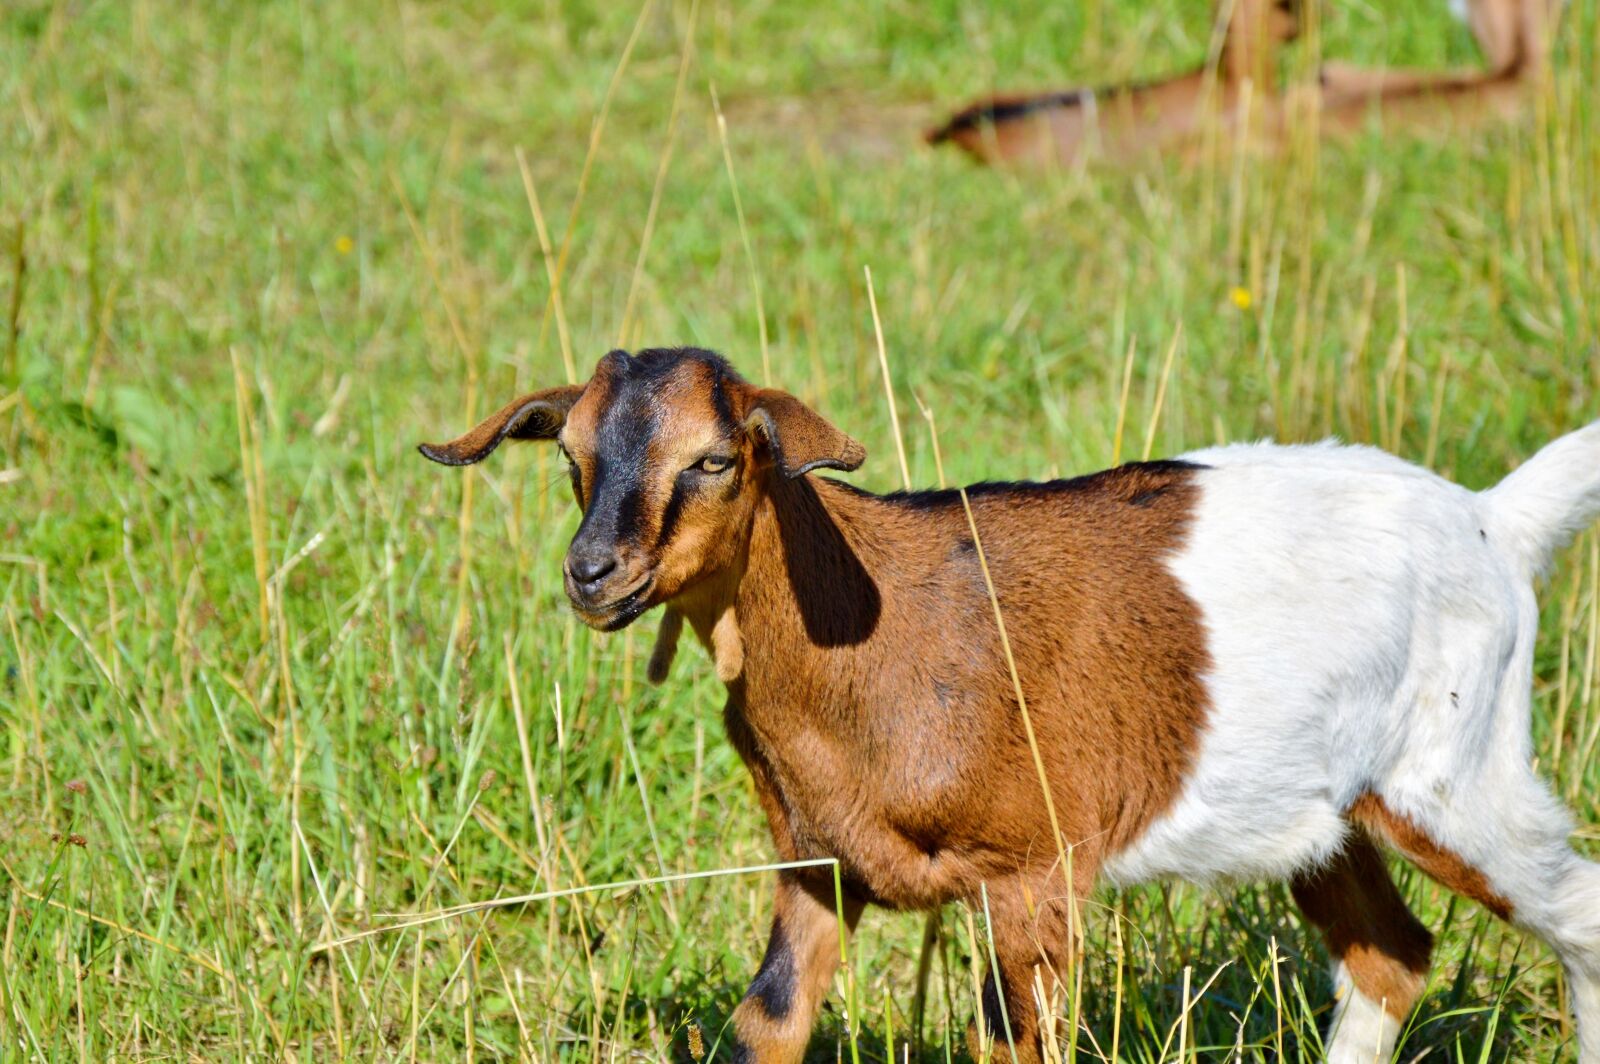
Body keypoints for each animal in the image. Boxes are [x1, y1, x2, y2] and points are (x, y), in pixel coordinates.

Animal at [421, 346, 1600, 1064]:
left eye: (714, 458)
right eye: (569, 455)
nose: (593, 573)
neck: (874, 626)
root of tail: (1493, 518)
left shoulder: (1032, 870)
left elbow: (1012, 1038)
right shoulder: (815, 860)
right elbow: (768, 1020)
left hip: (1454, 771)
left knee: (1576, 909)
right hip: (1324, 813)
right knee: (1389, 956)